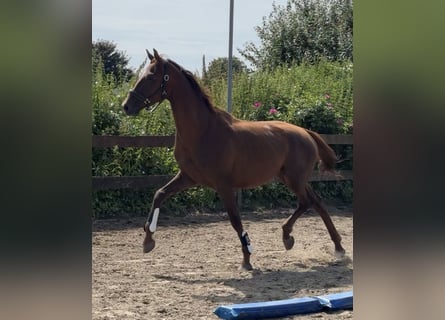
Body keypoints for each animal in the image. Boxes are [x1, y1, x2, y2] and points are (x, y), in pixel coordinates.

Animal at [123, 49, 346, 270]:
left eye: (151, 76)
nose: (126, 106)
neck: (203, 131)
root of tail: (306, 133)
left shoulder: (223, 185)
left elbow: (235, 220)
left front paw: (247, 259)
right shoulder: (188, 177)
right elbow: (159, 195)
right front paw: (148, 241)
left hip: (294, 180)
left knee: (307, 202)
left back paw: (288, 236)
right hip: (292, 178)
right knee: (316, 201)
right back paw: (337, 247)